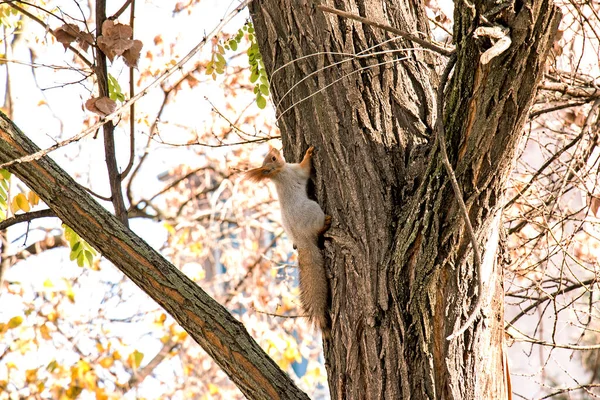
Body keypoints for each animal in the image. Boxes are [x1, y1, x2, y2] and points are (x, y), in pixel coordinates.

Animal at [245, 145, 332, 336]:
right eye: (273, 158)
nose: (274, 148)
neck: (278, 174)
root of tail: (302, 239)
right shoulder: (296, 172)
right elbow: (305, 168)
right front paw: (309, 152)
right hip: (313, 210)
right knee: (319, 228)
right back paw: (326, 223)